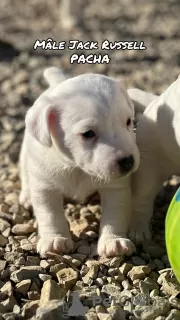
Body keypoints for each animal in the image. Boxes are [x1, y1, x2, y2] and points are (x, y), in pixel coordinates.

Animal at [19, 67, 139, 258]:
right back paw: (26, 196)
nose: (128, 162)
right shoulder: (44, 188)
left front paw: (113, 241)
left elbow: (115, 214)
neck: (77, 168)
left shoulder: (116, 188)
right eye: (88, 133)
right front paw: (55, 240)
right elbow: (50, 215)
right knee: (24, 174)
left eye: (128, 122)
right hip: (26, 156)